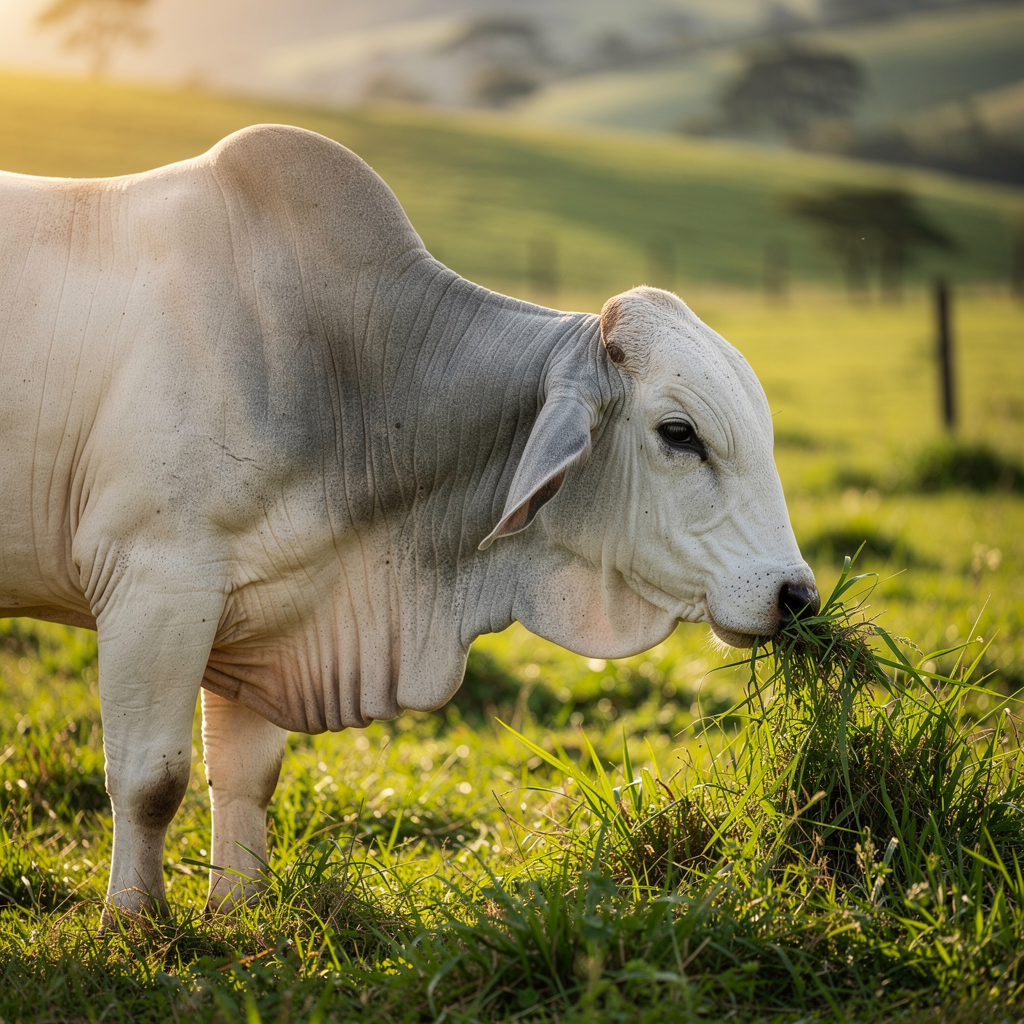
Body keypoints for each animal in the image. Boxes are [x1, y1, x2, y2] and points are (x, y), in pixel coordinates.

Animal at [0, 124, 817, 921]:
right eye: (680, 433)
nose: (798, 596)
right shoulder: (155, 585)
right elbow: (150, 780)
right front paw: (133, 923)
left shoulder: (251, 617)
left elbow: (245, 778)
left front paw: (237, 912)